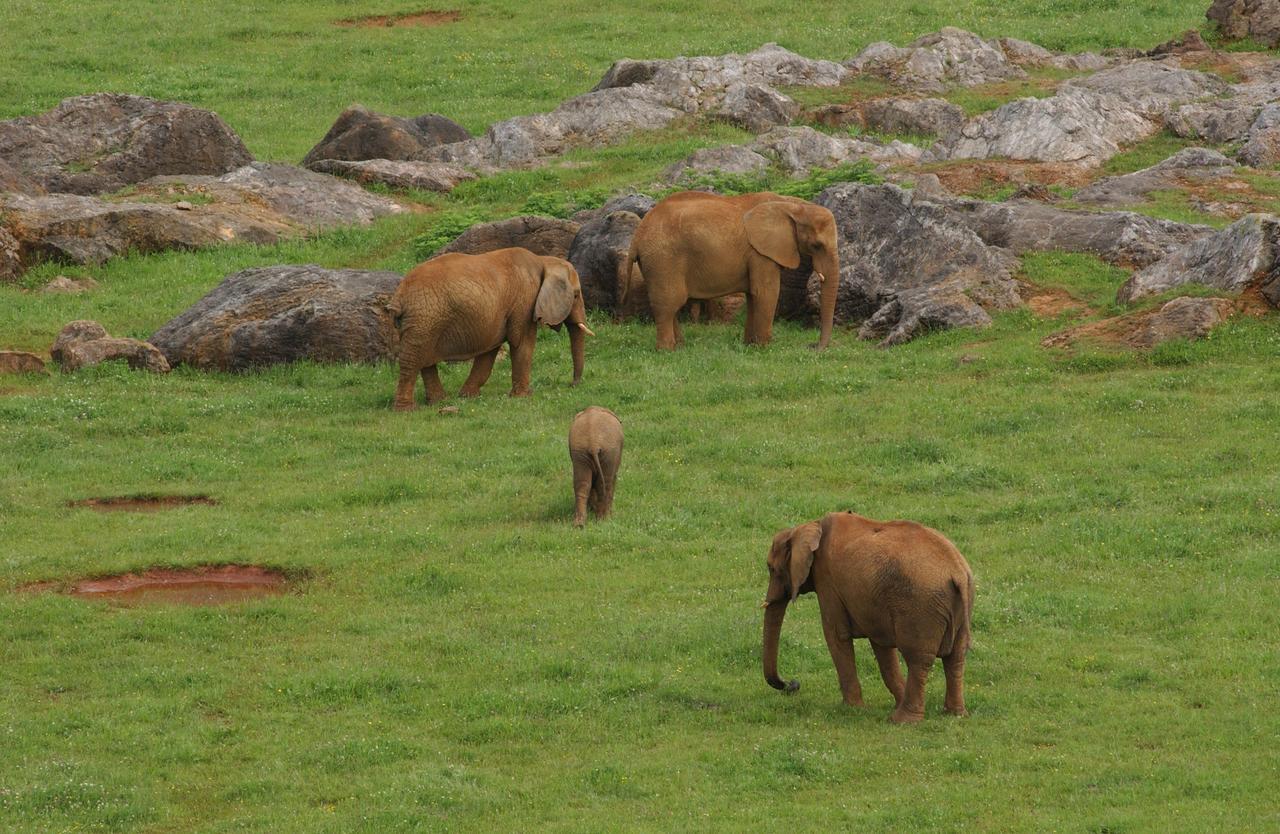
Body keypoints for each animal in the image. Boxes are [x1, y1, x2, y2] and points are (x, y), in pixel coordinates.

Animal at [389, 248, 593, 409]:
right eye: (576, 295)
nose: (572, 385)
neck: (543, 260)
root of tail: (399, 294)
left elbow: (489, 351)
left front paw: (467, 396)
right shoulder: (525, 301)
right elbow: (521, 342)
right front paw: (523, 397)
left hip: (424, 320)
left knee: (425, 360)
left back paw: (440, 402)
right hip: (424, 317)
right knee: (412, 359)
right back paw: (407, 410)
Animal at [757, 509, 977, 721]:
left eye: (772, 568)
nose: (794, 684)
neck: (809, 526)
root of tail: (957, 573)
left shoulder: (827, 580)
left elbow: (836, 636)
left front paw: (852, 709)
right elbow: (881, 647)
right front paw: (893, 700)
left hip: (920, 609)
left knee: (918, 659)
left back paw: (902, 720)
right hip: (958, 603)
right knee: (956, 658)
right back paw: (954, 714)